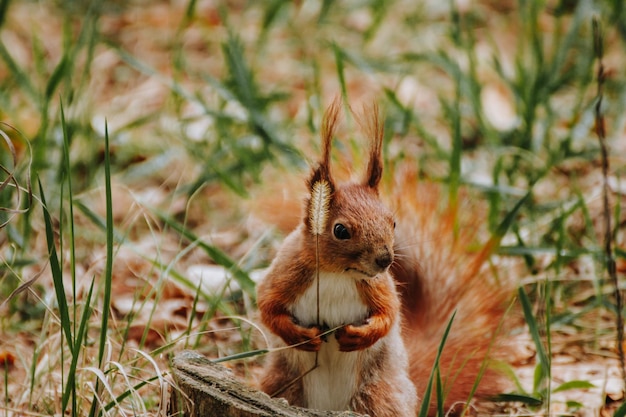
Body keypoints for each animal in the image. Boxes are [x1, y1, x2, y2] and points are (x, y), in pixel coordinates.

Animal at [256, 99, 510, 414]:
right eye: (340, 230)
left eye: (393, 222)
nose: (385, 260)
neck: (337, 274)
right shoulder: (288, 273)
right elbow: (267, 306)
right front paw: (302, 336)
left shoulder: (377, 285)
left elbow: (389, 313)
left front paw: (359, 336)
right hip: (283, 381)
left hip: (377, 395)